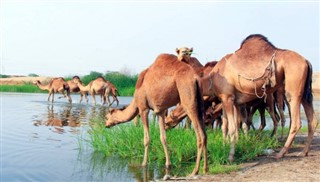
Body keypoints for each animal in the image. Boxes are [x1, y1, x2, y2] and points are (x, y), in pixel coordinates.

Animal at [205, 34, 318, 163]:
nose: (207, 129)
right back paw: (303, 152)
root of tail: (306, 62)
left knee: (294, 121)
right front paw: (226, 146)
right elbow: (227, 126)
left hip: (292, 89)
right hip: (305, 92)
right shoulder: (230, 100)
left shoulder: (228, 97)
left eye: (207, 118)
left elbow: (233, 127)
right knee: (312, 119)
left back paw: (281, 153)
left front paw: (230, 156)